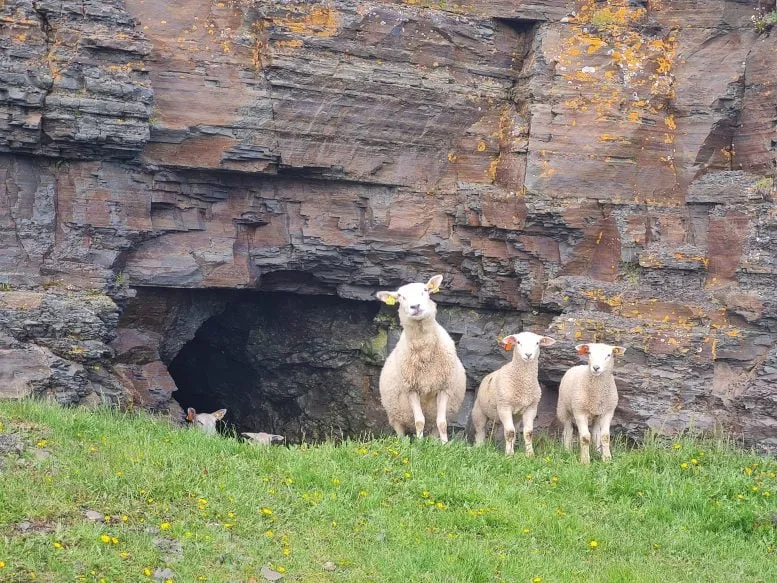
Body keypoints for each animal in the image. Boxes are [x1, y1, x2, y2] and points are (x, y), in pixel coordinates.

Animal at [376, 274, 466, 443]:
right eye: (400, 296)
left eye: (425, 290)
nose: (415, 306)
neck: (424, 353)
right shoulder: (411, 388)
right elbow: (419, 421)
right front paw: (419, 443)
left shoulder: (444, 387)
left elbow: (442, 422)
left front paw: (445, 444)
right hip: (395, 414)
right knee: (401, 429)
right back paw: (405, 443)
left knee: (434, 426)